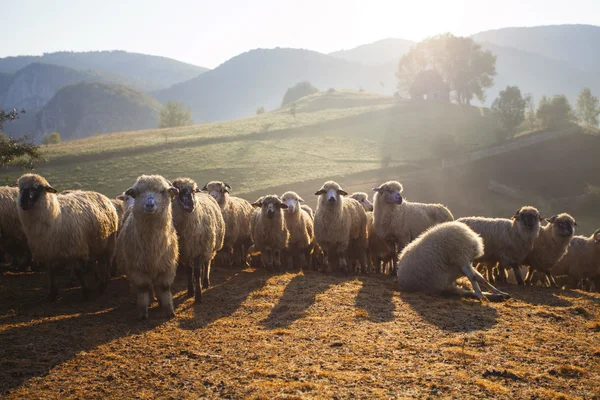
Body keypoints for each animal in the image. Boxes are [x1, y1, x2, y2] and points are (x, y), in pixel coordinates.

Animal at [17, 173, 118, 302]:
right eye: (20, 189)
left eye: (37, 188)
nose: (23, 203)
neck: (55, 216)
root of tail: (100, 194)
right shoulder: (47, 250)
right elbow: (50, 271)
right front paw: (52, 293)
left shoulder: (78, 248)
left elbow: (78, 271)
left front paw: (86, 291)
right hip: (97, 243)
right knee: (100, 261)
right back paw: (100, 281)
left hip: (109, 242)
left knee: (107, 262)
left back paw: (104, 283)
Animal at [116, 175, 179, 318]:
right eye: (138, 192)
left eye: (162, 191)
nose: (149, 204)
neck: (152, 245)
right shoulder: (138, 267)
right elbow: (143, 287)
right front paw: (143, 311)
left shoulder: (167, 266)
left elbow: (164, 287)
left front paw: (168, 310)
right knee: (138, 285)